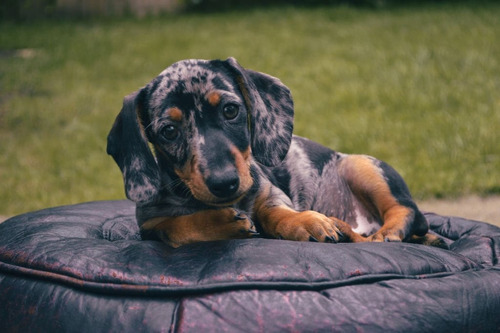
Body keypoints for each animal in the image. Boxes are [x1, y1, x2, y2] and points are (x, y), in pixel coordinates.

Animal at [106, 57, 446, 246]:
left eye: (230, 110)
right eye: (169, 131)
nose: (225, 183)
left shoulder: (271, 193)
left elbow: (276, 213)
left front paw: (304, 222)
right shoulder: (148, 224)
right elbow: (174, 227)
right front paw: (219, 224)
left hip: (361, 166)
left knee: (406, 212)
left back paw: (382, 234)